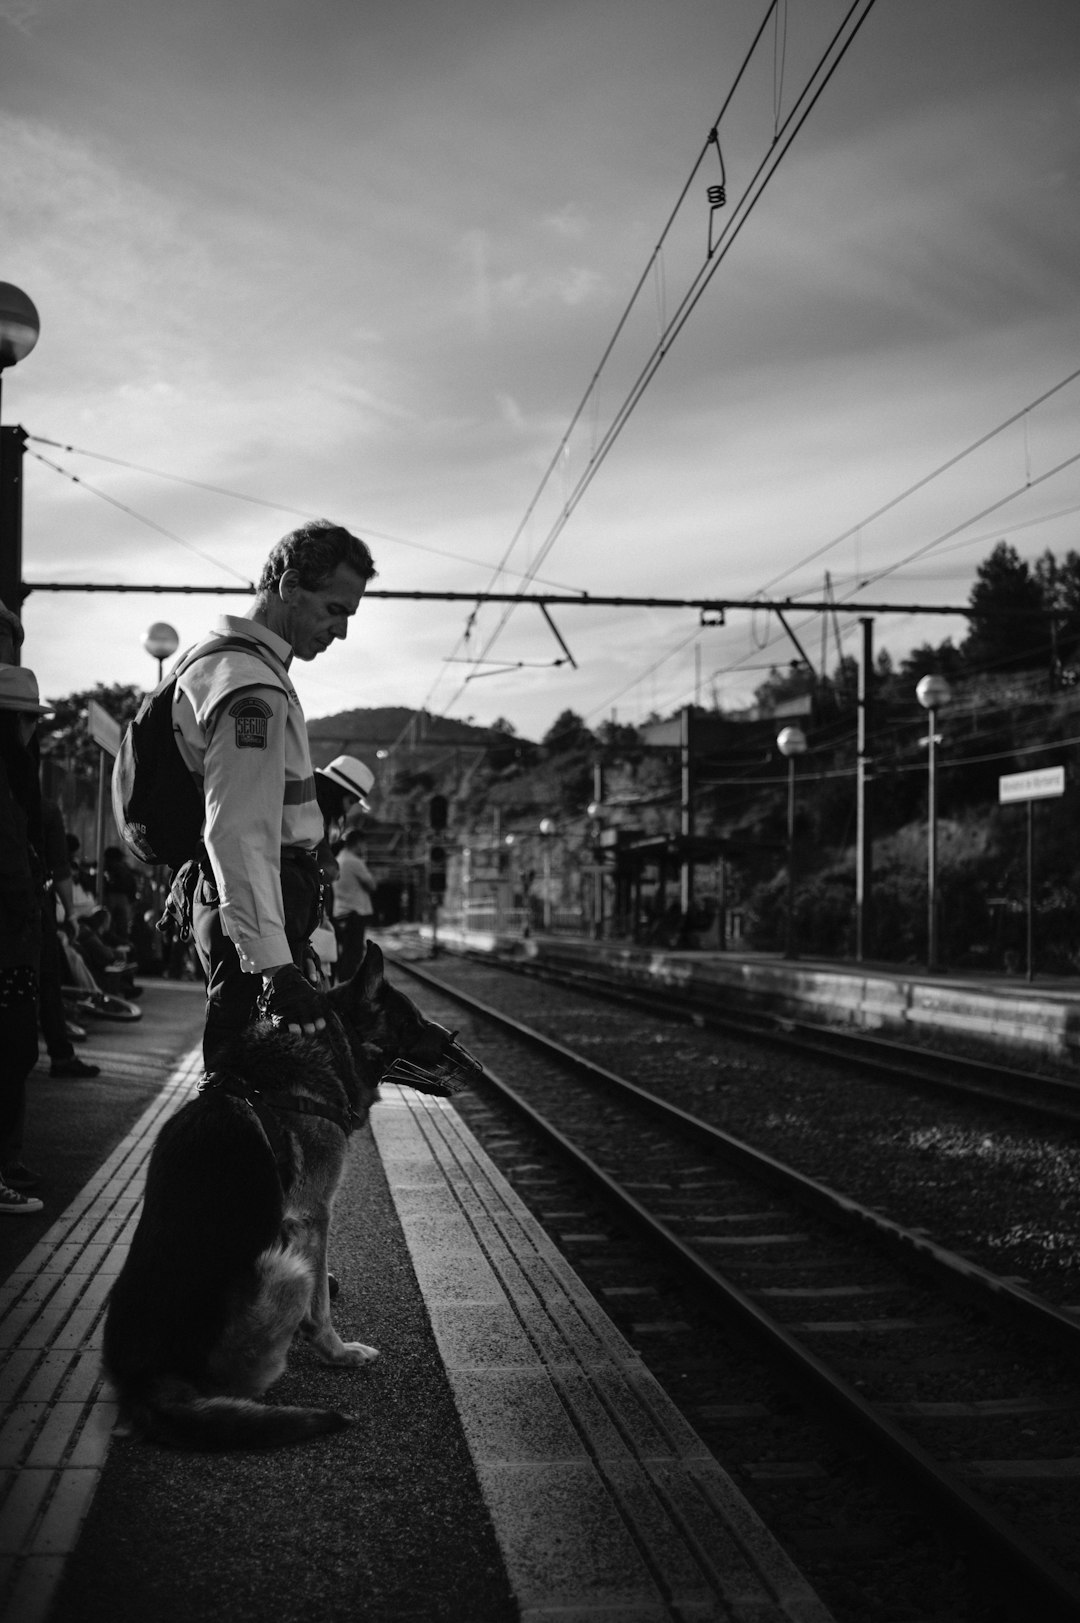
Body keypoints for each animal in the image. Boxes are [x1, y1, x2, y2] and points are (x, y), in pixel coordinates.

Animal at [102, 947, 480, 1454]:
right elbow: (319, 1306)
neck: (330, 1044)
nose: (462, 1049)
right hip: (285, 1270)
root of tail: (146, 1382)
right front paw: (337, 1352)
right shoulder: (313, 1217)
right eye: (413, 1022)